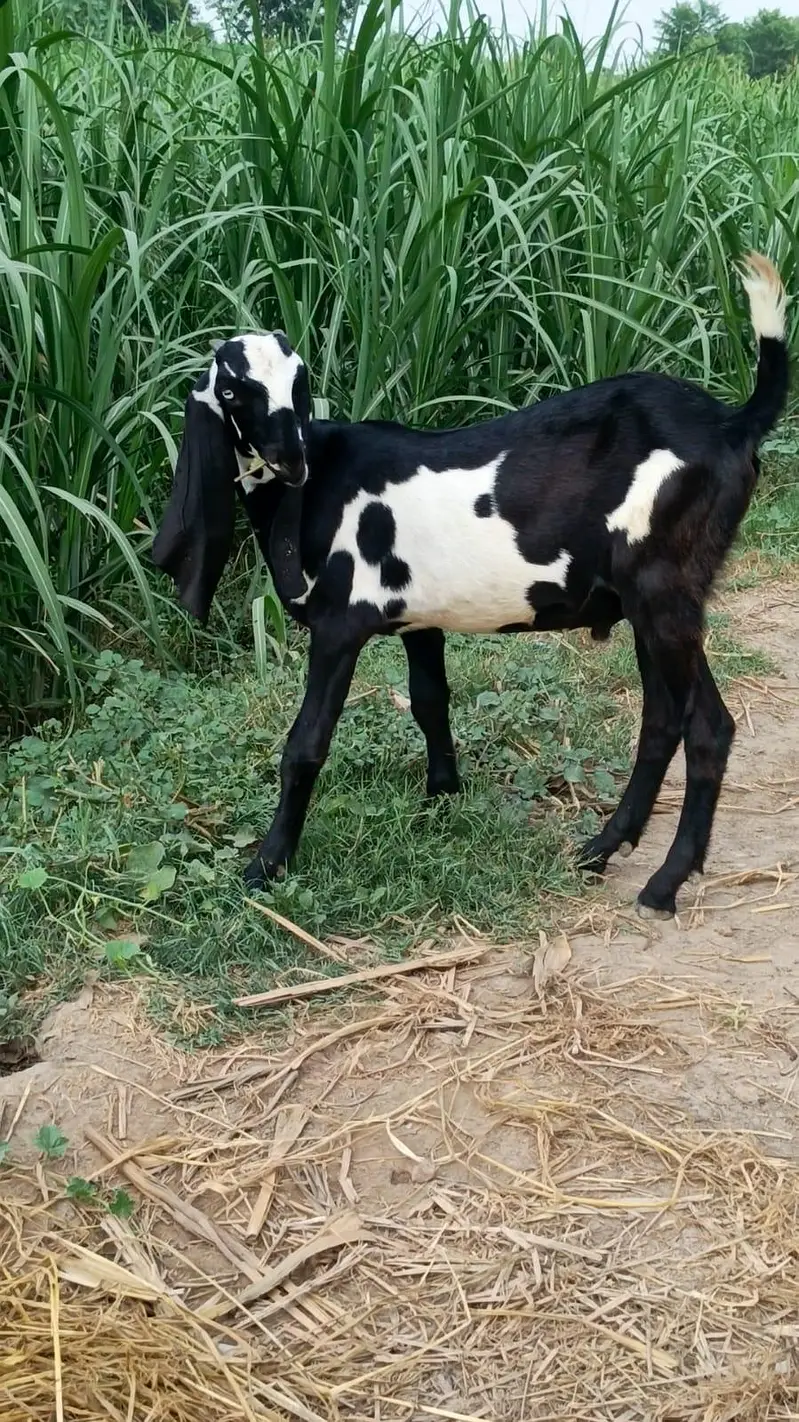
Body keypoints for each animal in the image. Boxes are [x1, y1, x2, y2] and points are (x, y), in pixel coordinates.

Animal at [151, 254, 789, 919]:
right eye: (232, 390)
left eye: (299, 384)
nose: (290, 459)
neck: (318, 487)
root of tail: (732, 423)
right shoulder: (419, 619)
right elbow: (430, 702)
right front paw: (440, 804)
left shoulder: (339, 625)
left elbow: (306, 743)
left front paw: (265, 868)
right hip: (653, 602)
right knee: (664, 719)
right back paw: (602, 848)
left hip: (663, 590)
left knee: (708, 728)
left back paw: (663, 884)